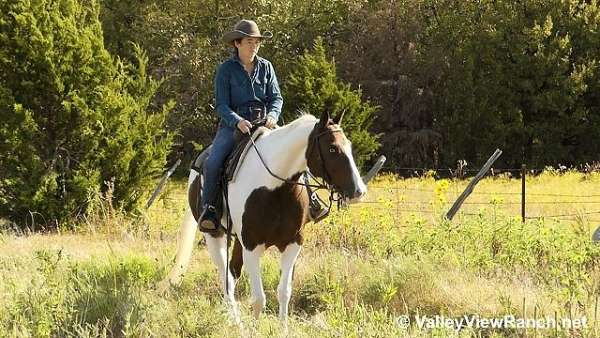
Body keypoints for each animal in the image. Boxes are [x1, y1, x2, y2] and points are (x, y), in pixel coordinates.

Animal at [159, 111, 366, 328]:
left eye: (348, 145)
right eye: (332, 148)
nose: (359, 192)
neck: (275, 189)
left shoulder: (293, 244)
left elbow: (284, 292)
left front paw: (283, 329)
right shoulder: (252, 246)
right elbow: (258, 298)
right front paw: (254, 329)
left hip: (238, 241)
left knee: (233, 272)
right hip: (214, 236)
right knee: (226, 279)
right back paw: (236, 322)